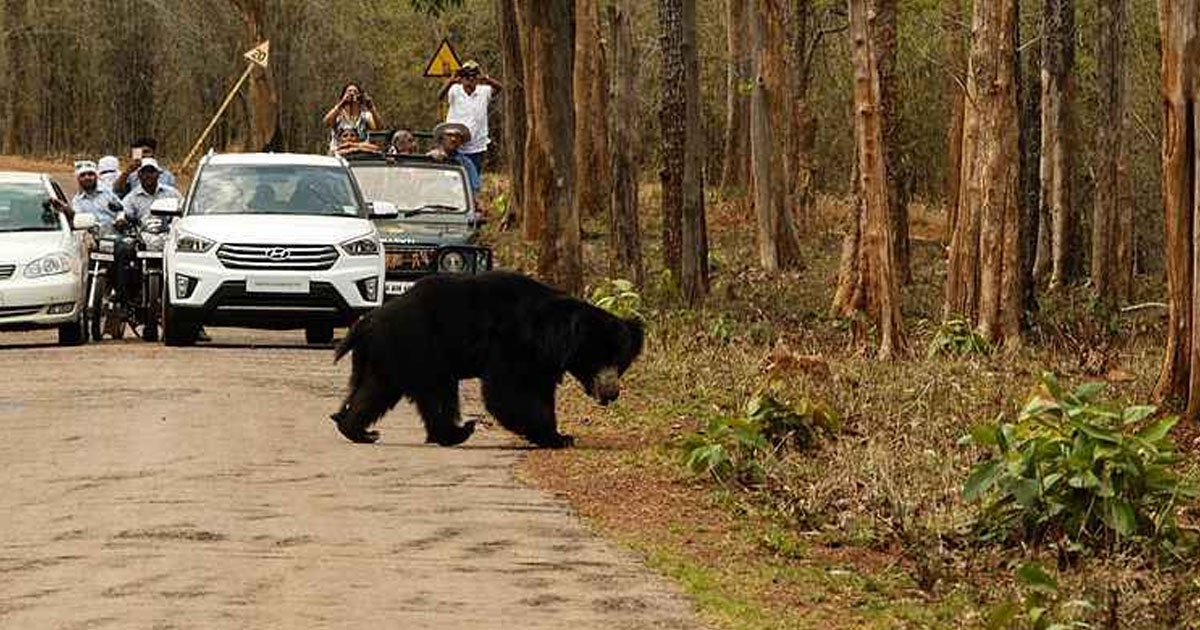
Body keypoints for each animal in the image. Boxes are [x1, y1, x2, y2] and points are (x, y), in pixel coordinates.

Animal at [328, 270, 648, 446]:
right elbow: (508, 392)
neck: (551, 335)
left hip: (389, 356)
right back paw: (459, 431)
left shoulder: (542, 361)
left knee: (374, 391)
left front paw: (559, 434)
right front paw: (555, 437)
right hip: (420, 346)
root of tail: (366, 322)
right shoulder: (512, 342)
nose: (612, 392)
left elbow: (539, 391)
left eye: (620, 362)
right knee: (437, 392)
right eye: (598, 358)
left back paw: (358, 430)